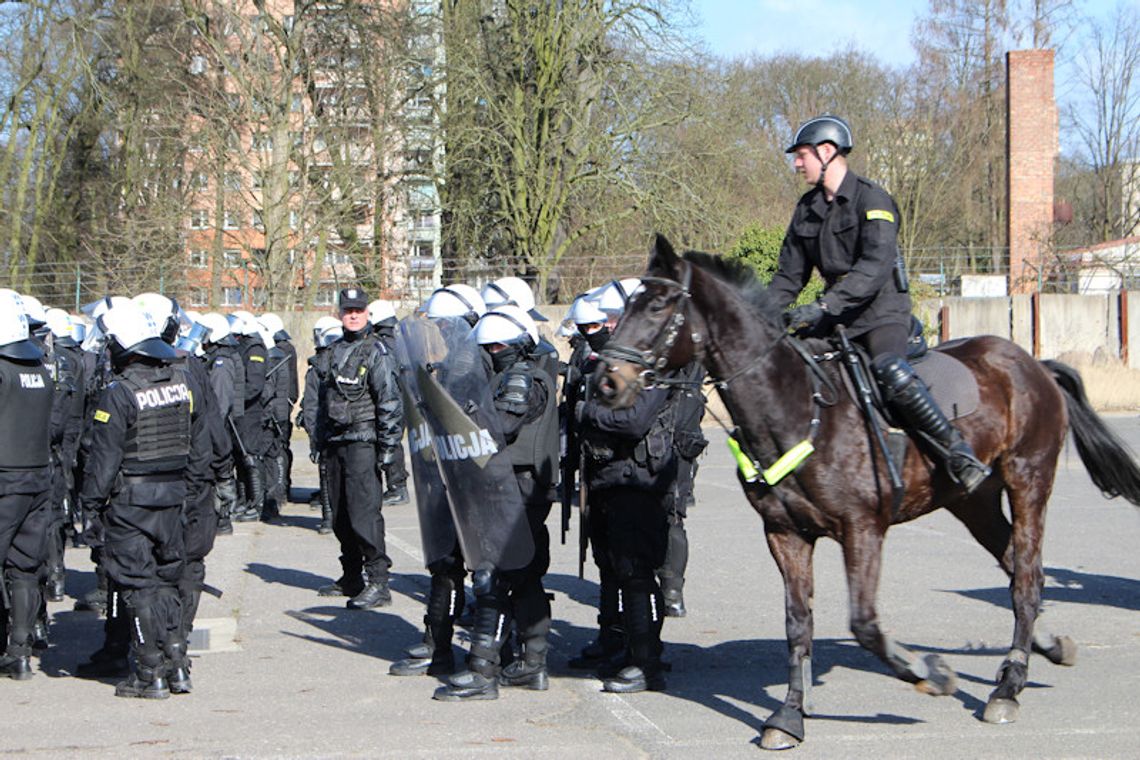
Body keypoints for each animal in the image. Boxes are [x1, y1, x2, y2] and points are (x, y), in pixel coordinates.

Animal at [597, 234, 1140, 752]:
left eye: (658, 305)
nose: (607, 382)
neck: (797, 406)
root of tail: (1033, 365)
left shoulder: (862, 530)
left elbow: (864, 623)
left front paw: (929, 672)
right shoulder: (785, 534)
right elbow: (798, 623)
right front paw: (789, 718)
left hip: (1028, 481)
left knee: (1026, 577)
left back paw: (1008, 689)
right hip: (973, 502)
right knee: (1014, 566)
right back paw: (1045, 649)